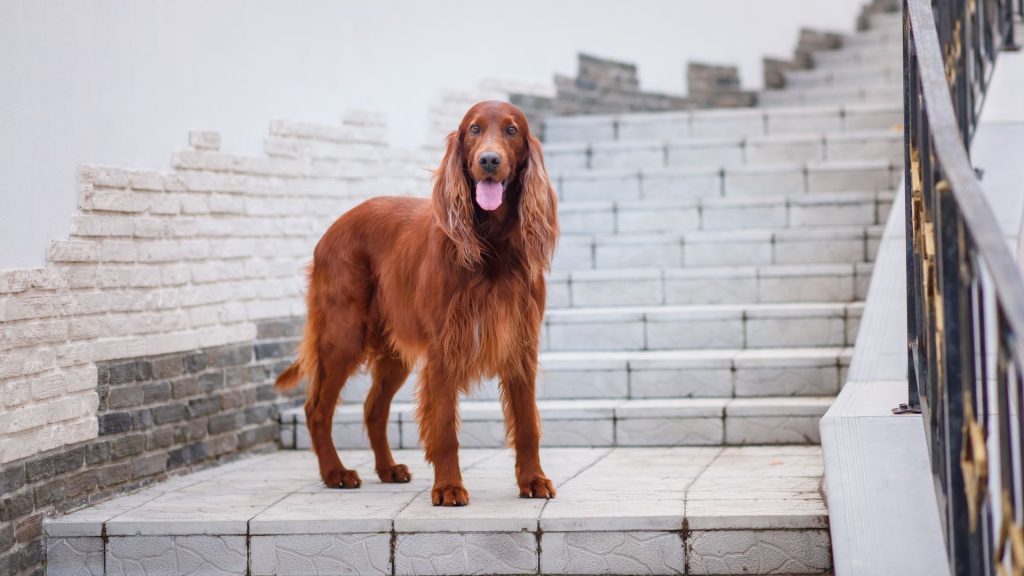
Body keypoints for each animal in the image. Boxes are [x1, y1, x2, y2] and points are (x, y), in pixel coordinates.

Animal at [274, 100, 561, 504]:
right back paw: (335, 472)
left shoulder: (520, 344)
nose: (489, 160)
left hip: (394, 353)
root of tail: (332, 229)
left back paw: (387, 468)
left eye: (511, 130)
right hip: (342, 335)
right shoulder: (444, 347)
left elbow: (527, 424)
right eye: (474, 129)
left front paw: (533, 480)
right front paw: (449, 487)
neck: (491, 244)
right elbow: (444, 428)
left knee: (373, 409)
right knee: (317, 409)